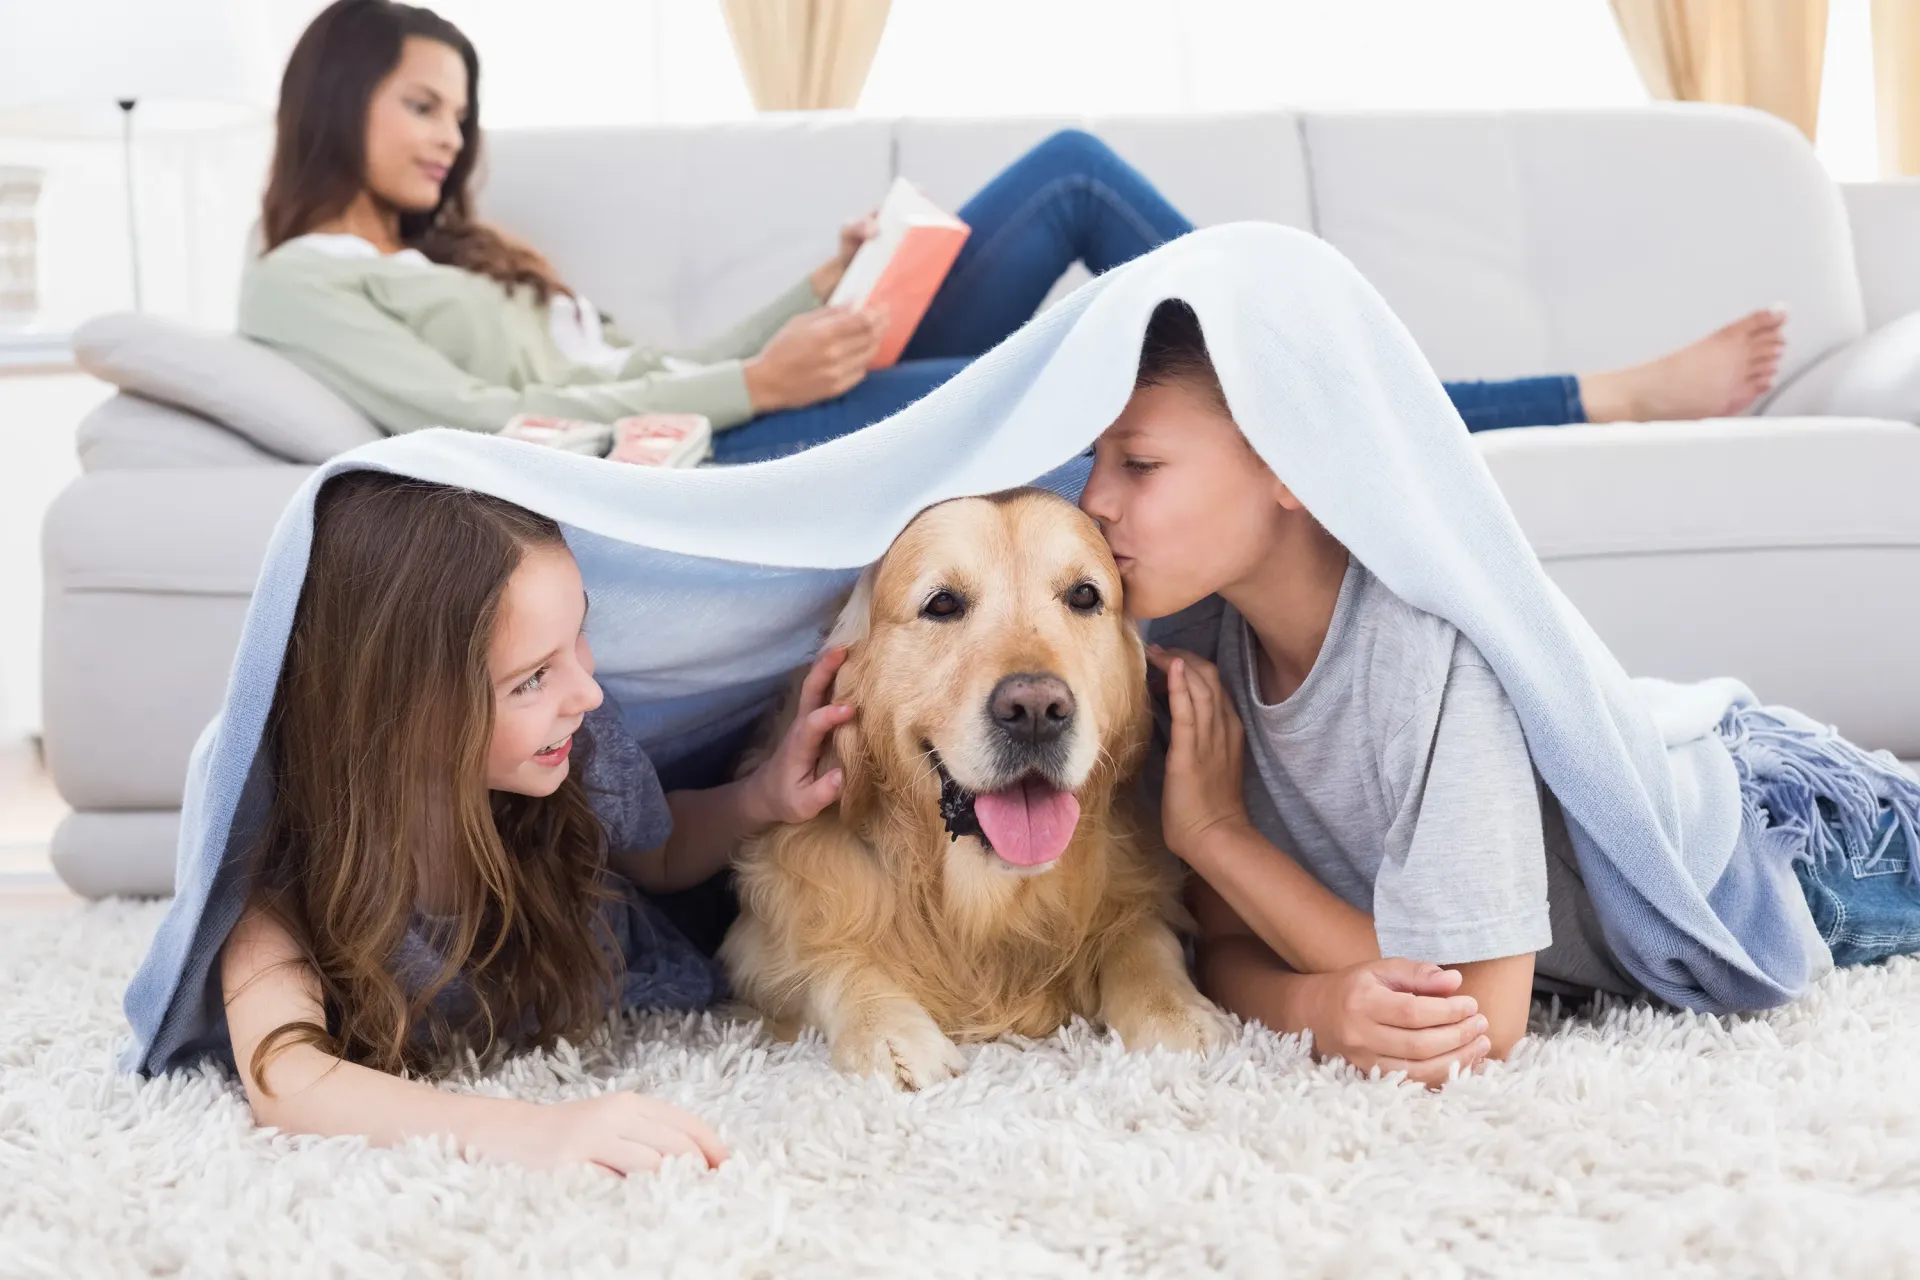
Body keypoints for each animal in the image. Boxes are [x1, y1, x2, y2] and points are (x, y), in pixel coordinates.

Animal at [721, 491, 1228, 1090]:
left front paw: (1177, 1013)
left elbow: (1142, 936)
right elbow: (825, 959)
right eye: (942, 604)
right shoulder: (761, 937)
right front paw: (888, 1035)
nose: (1036, 710)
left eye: (1084, 595)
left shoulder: (1134, 887)